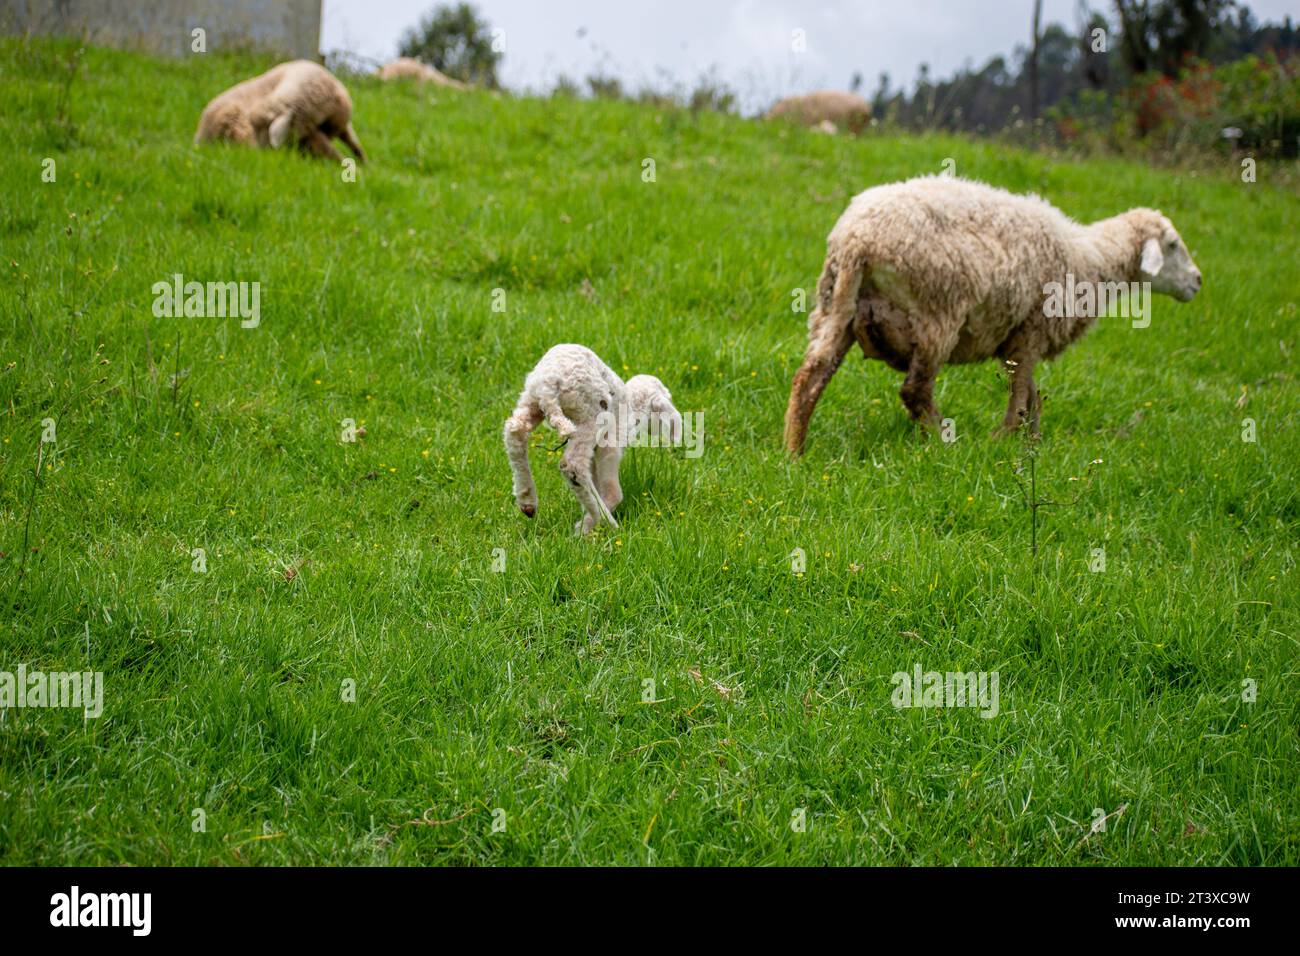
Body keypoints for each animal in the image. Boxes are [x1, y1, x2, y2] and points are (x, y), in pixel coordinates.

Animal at [504, 345, 681, 535]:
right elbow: (612, 491)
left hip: (532, 399)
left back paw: (527, 499)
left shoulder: (595, 453)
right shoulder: (610, 443)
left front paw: (585, 516)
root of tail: (549, 383)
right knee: (573, 465)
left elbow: (594, 481)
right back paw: (604, 521)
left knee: (515, 431)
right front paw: (585, 525)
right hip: (590, 414)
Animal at [784, 175, 1203, 454]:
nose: (1198, 281)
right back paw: (945, 443)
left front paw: (1033, 444)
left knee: (810, 376)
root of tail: (856, 239)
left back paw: (794, 450)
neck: (1089, 259)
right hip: (937, 314)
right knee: (915, 390)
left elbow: (1032, 395)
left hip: (835, 306)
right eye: (1172, 244)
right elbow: (1020, 399)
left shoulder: (1018, 336)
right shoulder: (1032, 330)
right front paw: (1003, 441)